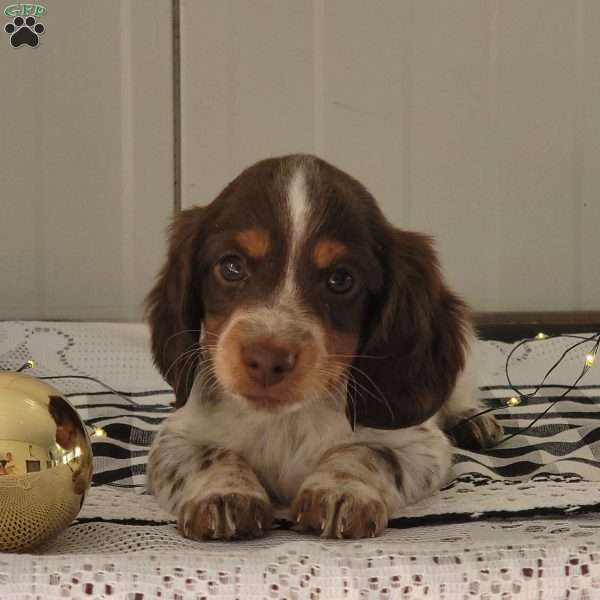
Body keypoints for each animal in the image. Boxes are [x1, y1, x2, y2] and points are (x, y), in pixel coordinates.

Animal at [145, 154, 502, 540]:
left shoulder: (420, 445)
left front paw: (339, 490)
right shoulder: (175, 437)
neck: (285, 420)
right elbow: (211, 455)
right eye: (231, 266)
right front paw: (223, 493)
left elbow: (366, 453)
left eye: (341, 279)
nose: (267, 360)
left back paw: (474, 420)